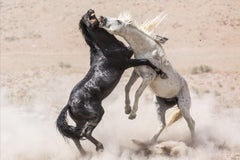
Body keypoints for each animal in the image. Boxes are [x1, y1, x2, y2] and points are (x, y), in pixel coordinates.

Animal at [55, 9, 162, 155]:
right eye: (85, 18)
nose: (90, 10)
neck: (105, 48)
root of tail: (69, 104)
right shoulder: (127, 62)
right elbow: (146, 60)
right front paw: (159, 71)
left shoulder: (128, 53)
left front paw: (158, 37)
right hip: (97, 114)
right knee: (85, 133)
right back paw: (99, 147)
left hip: (80, 121)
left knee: (76, 136)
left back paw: (85, 154)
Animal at [99, 14, 195, 142]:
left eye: (119, 21)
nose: (102, 18)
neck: (147, 51)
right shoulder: (136, 73)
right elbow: (127, 87)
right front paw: (127, 109)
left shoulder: (149, 77)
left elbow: (137, 92)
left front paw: (132, 114)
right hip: (159, 106)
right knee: (162, 124)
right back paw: (150, 142)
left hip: (184, 107)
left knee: (191, 123)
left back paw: (194, 142)